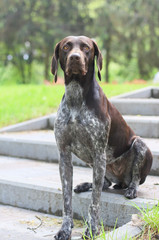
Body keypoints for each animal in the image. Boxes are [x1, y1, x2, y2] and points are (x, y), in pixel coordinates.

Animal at [51, 36, 153, 240]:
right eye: (66, 47)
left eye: (86, 48)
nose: (75, 58)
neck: (76, 98)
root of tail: (121, 180)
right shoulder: (64, 156)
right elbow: (66, 200)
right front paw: (65, 229)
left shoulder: (99, 154)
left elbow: (95, 202)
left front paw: (92, 229)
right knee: (105, 182)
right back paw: (86, 185)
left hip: (138, 145)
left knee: (134, 177)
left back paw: (131, 188)